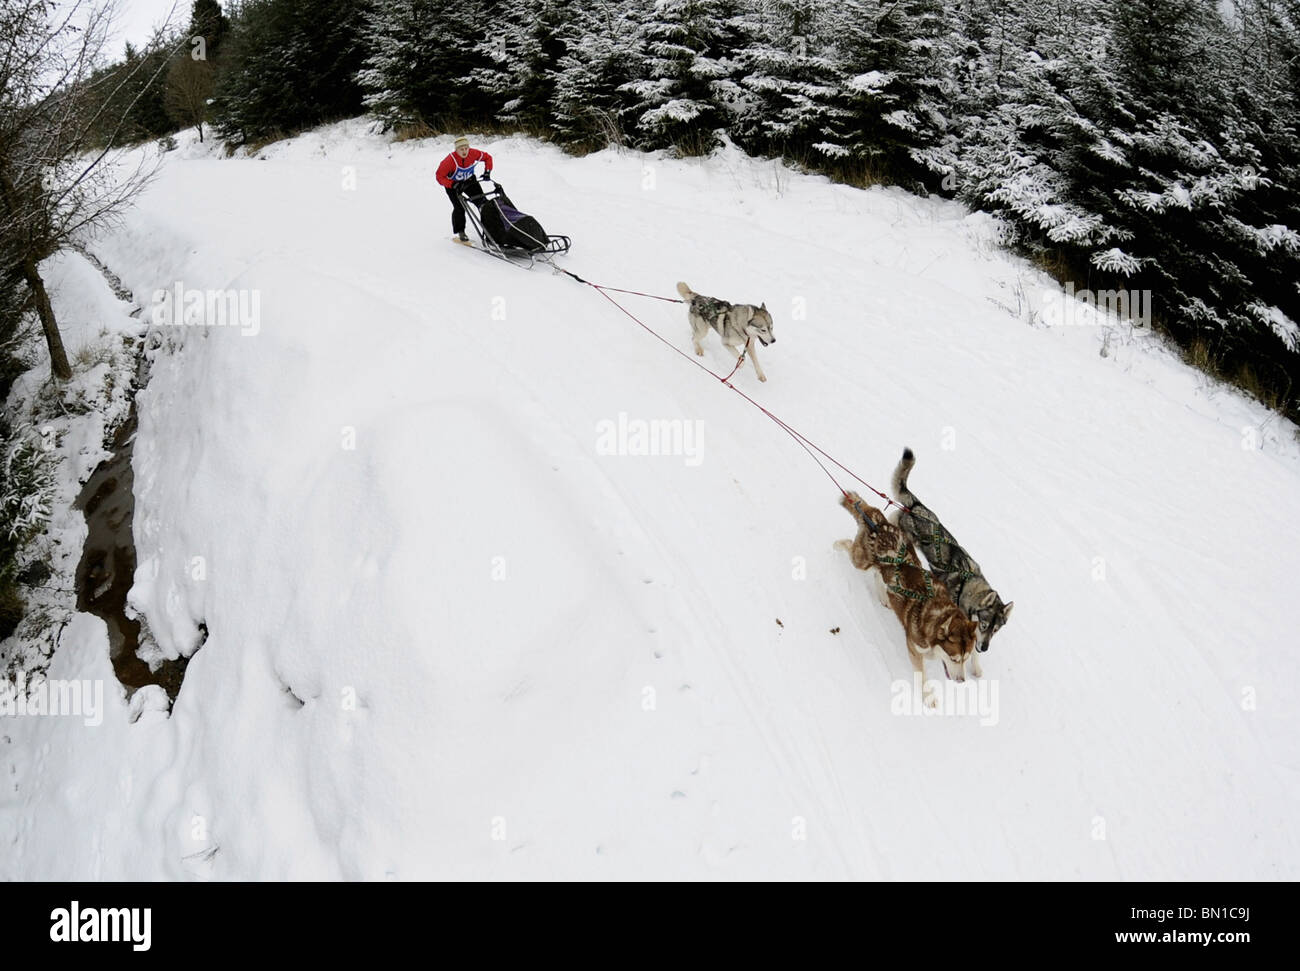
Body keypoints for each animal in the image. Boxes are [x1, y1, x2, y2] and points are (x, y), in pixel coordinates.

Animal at [837, 488, 977, 701]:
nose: (961, 681)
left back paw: (883, 595)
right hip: (861, 561)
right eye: (954, 658)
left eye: (966, 658)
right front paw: (928, 698)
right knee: (849, 547)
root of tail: (879, 522)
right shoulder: (914, 649)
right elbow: (922, 676)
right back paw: (837, 545)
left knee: (879, 574)